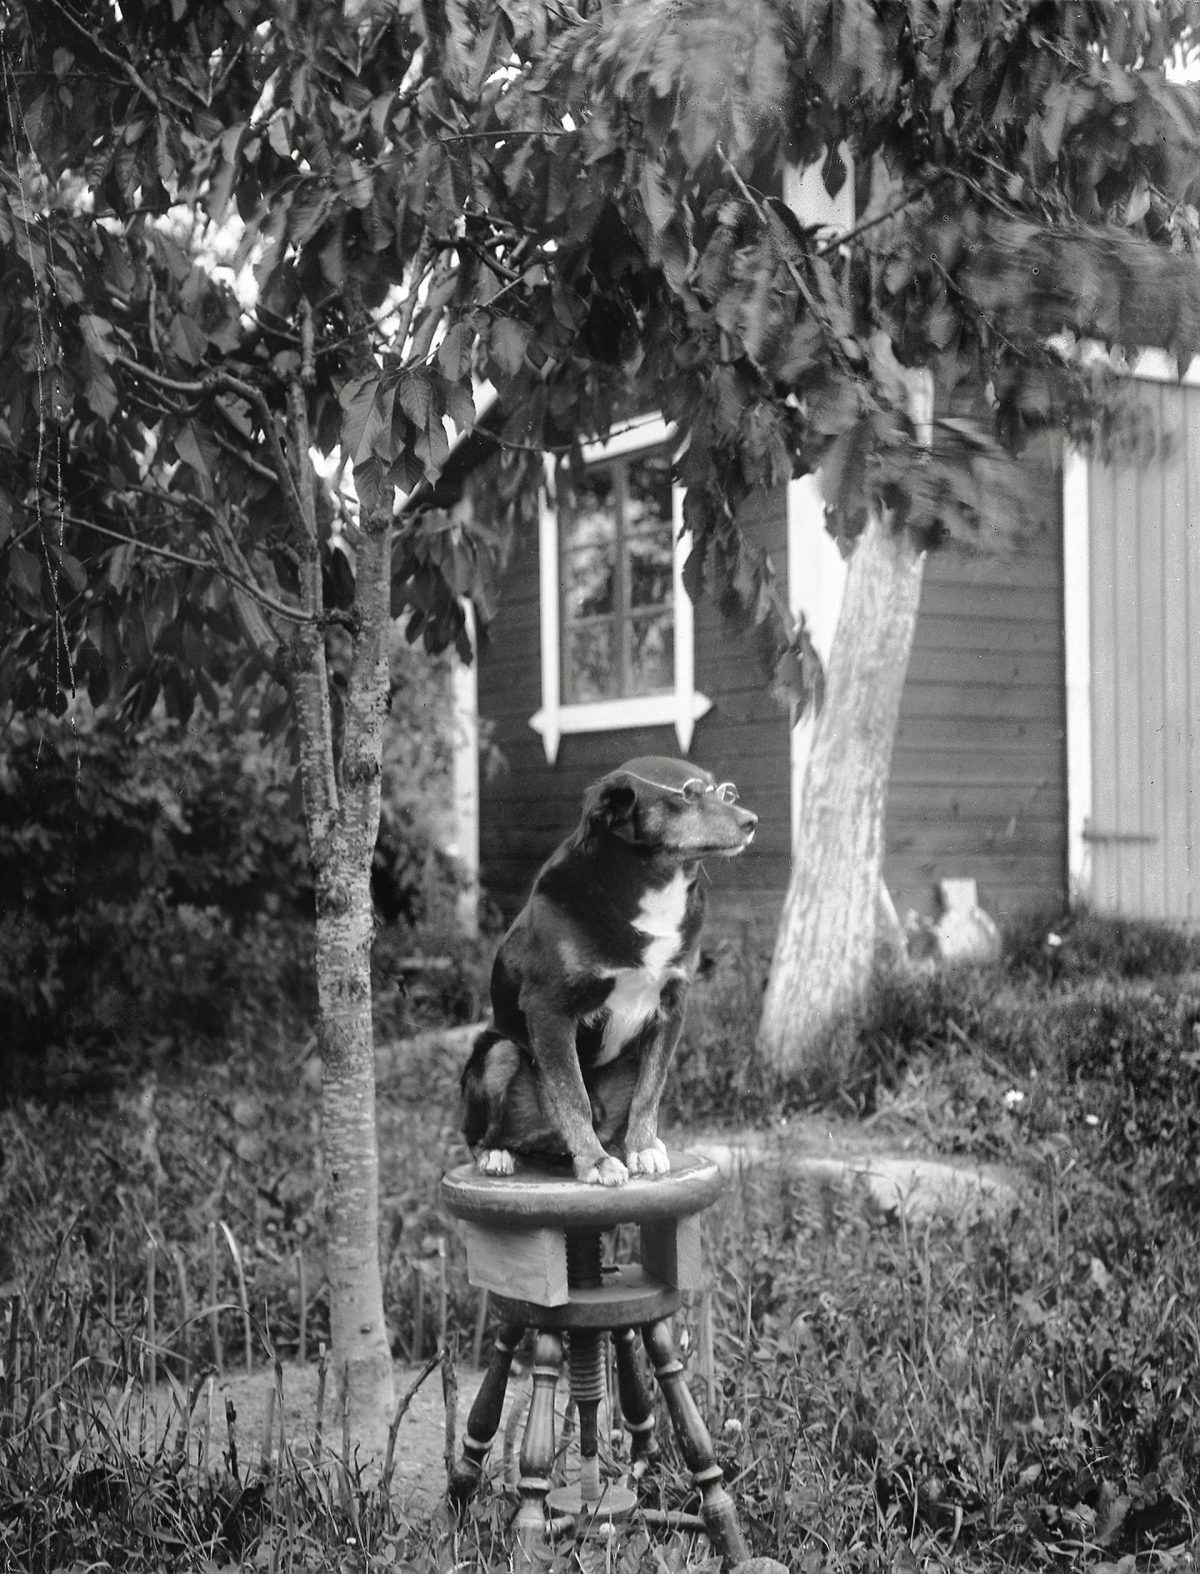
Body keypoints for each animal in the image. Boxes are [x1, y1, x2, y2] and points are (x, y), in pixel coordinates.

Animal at [459, 755, 752, 1183]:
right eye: (688, 794)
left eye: (726, 792)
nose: (752, 821)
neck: (650, 886)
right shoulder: (549, 1009)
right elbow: (572, 1095)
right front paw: (594, 1161)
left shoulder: (671, 1009)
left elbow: (650, 1092)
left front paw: (643, 1147)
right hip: (498, 1051)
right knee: (482, 1133)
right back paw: (497, 1154)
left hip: (626, 1061)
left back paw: (621, 1145)